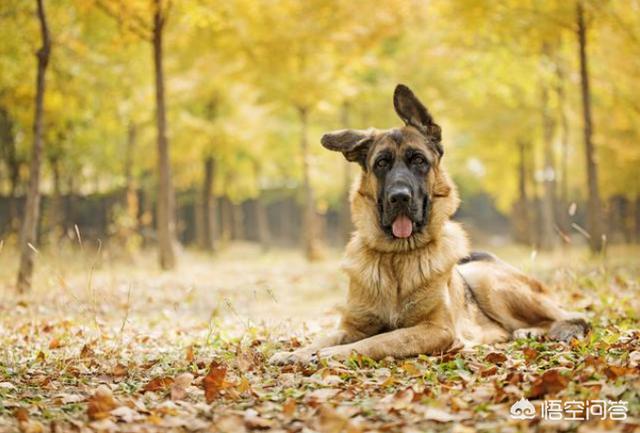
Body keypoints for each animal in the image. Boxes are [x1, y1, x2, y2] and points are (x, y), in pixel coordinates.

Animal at [268, 84, 588, 364]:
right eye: (381, 163)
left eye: (418, 160)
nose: (399, 197)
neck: (397, 258)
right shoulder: (352, 326)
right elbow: (327, 336)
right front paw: (297, 352)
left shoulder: (436, 330)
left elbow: (380, 340)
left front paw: (329, 355)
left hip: (486, 281)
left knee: (574, 317)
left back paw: (539, 330)